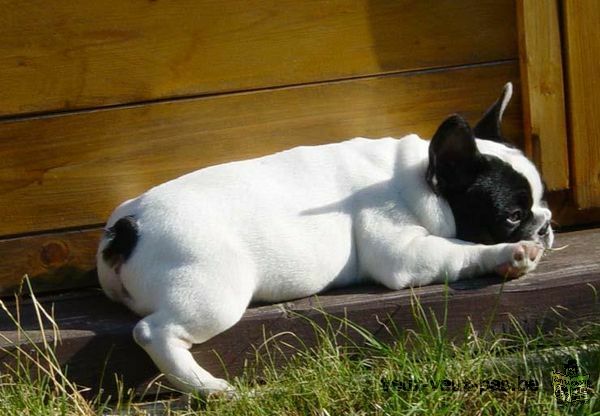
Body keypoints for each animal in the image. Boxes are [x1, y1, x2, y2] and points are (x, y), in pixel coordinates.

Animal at [97, 82, 552, 396]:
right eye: (512, 215)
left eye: (543, 198)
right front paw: (509, 254)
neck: (419, 179)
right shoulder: (402, 253)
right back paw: (206, 387)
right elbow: (461, 252)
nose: (546, 224)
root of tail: (128, 227)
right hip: (213, 289)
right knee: (154, 332)